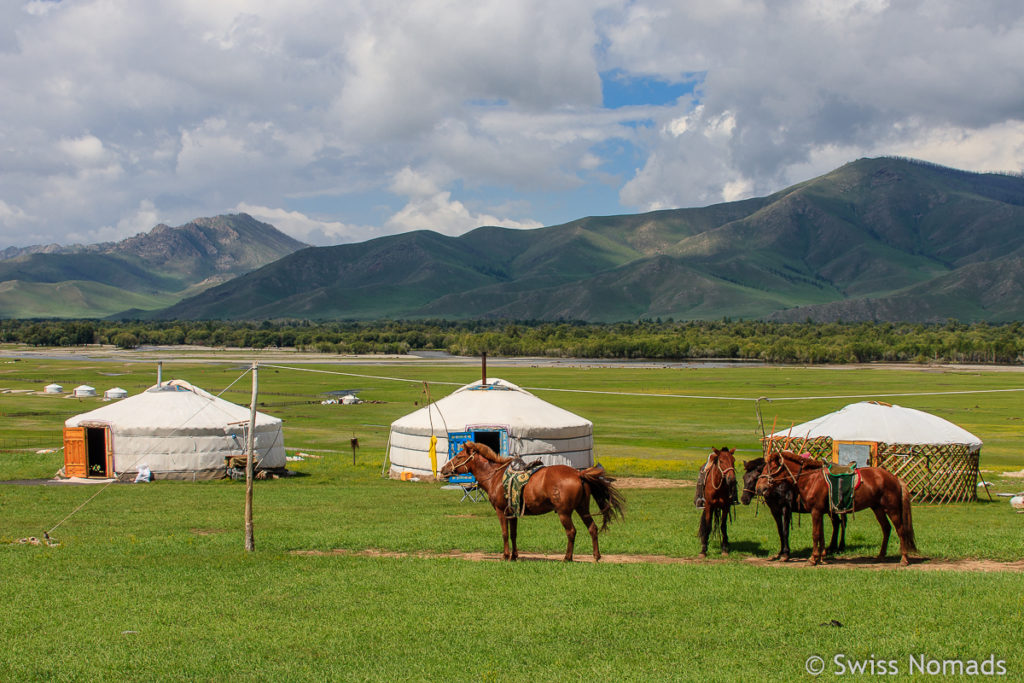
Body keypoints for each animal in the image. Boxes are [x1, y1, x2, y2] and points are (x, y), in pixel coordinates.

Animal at [438, 444, 622, 561]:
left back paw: (567, 558)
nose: (443, 470)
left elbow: (504, 533)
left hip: (564, 513)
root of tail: (578, 474)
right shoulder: (512, 512)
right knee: (592, 528)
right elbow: (513, 534)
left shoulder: (500, 510)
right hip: (582, 508)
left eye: (459, 456)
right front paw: (514, 556)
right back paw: (596, 556)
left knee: (571, 532)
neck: (494, 476)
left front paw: (505, 556)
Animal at [753, 448, 921, 565]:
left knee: (900, 530)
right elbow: (821, 535)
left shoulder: (815, 511)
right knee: (886, 528)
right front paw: (821, 558)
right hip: (877, 508)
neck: (811, 479)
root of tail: (894, 477)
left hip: (892, 508)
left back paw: (904, 559)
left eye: (770, 468)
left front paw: (813, 559)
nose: (759, 487)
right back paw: (880, 556)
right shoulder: (820, 511)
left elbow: (815, 534)